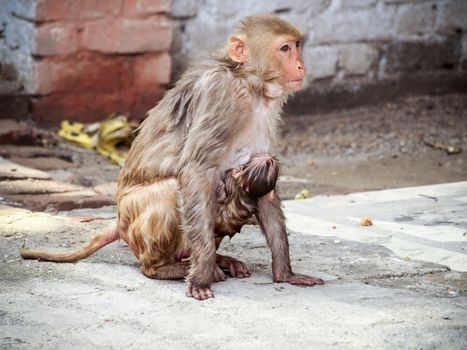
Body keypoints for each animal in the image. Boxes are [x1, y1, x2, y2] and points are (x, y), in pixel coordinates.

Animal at [20, 15, 324, 300]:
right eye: (285, 48)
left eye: (297, 46)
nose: (301, 65)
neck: (249, 83)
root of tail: (118, 221)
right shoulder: (223, 98)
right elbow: (195, 173)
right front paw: (200, 277)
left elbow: (265, 187)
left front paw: (285, 272)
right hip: (133, 220)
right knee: (169, 192)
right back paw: (168, 268)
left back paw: (217, 260)